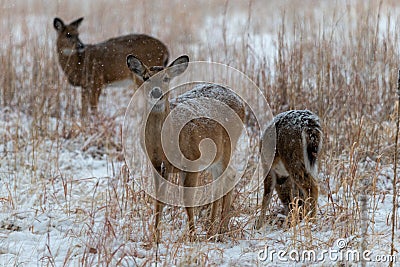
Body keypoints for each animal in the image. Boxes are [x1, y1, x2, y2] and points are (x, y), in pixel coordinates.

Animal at [126, 54, 245, 243]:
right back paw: (220, 229)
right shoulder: (157, 165)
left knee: (221, 182)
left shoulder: (192, 162)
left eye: (166, 78)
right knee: (230, 175)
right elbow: (158, 200)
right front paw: (155, 238)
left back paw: (213, 232)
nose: (156, 92)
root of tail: (241, 103)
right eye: (146, 78)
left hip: (226, 148)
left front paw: (192, 236)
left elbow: (187, 200)